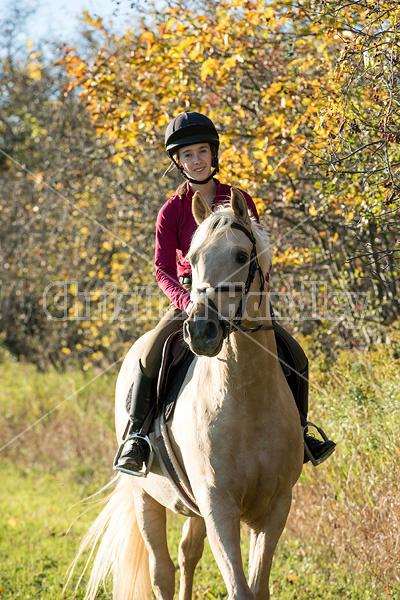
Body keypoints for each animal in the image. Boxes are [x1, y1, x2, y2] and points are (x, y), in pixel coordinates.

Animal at [72, 189, 304, 600]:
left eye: (241, 256)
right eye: (192, 259)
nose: (201, 331)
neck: (248, 400)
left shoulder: (275, 507)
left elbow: (258, 587)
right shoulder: (219, 508)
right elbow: (239, 589)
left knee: (187, 553)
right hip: (145, 496)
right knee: (161, 570)